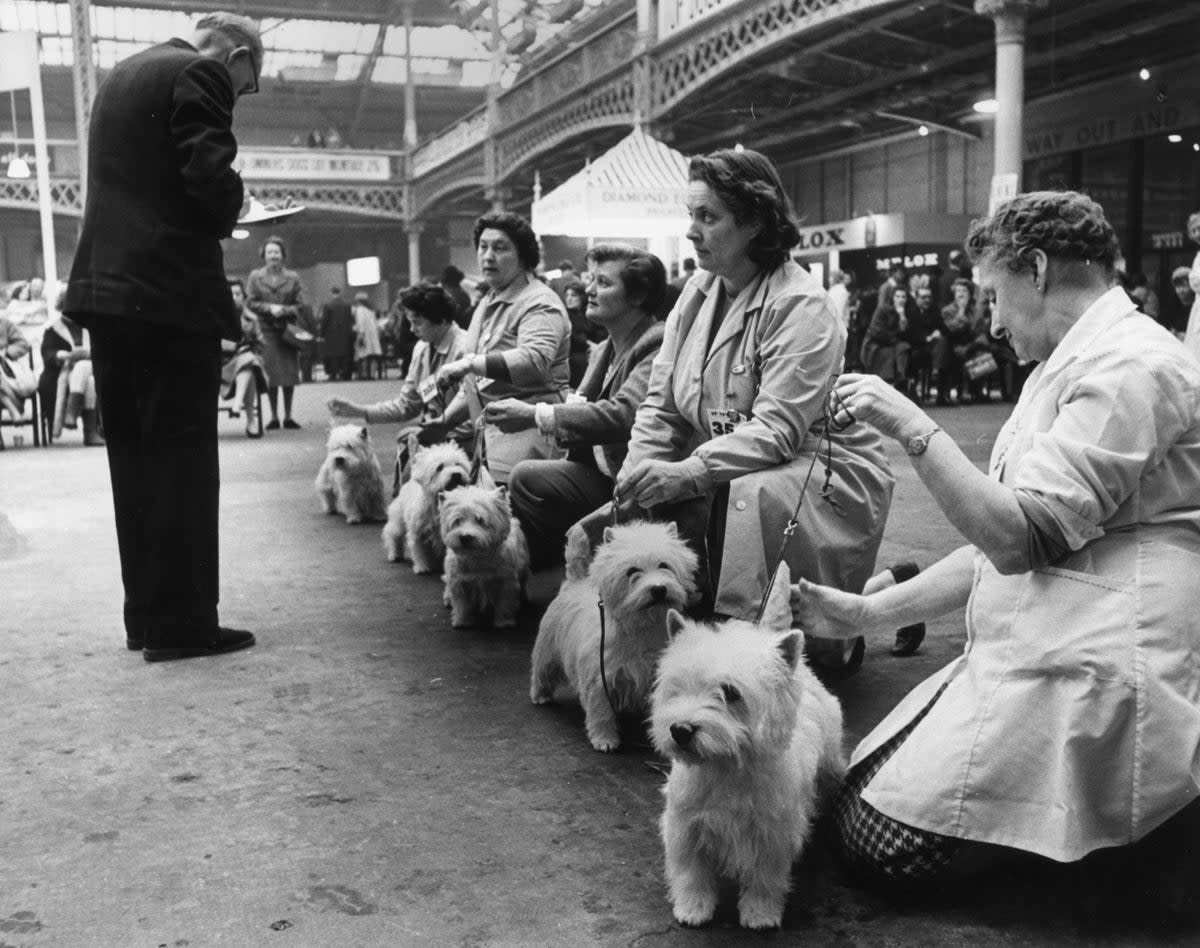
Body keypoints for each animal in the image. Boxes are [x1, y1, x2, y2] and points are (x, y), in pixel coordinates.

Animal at [439, 482, 528, 628]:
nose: (465, 537)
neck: (477, 557)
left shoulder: (506, 581)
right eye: (457, 520)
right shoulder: (460, 582)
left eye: (480, 519)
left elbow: (505, 603)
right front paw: (462, 621)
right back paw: (447, 598)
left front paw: (504, 622)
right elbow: (462, 604)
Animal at [530, 523, 700, 753]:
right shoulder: (599, 678)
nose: (658, 589)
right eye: (632, 571)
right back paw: (540, 695)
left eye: (664, 565)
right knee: (542, 671)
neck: (642, 627)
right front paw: (605, 740)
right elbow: (601, 712)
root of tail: (573, 583)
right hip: (548, 649)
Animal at [648, 568, 844, 931]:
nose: (680, 731)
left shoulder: (773, 834)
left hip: (831, 761)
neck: (725, 766)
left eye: (730, 693)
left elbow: (766, 878)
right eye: (677, 688)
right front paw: (693, 909)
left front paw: (760, 914)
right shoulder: (686, 825)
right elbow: (691, 872)